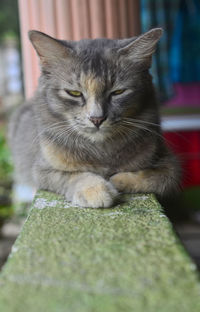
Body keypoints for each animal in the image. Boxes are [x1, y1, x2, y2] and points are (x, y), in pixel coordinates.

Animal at [8, 28, 180, 207]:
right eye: (74, 93)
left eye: (118, 92)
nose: (97, 119)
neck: (100, 150)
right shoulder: (41, 169)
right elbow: (73, 175)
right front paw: (96, 191)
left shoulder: (169, 165)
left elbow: (154, 177)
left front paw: (116, 180)